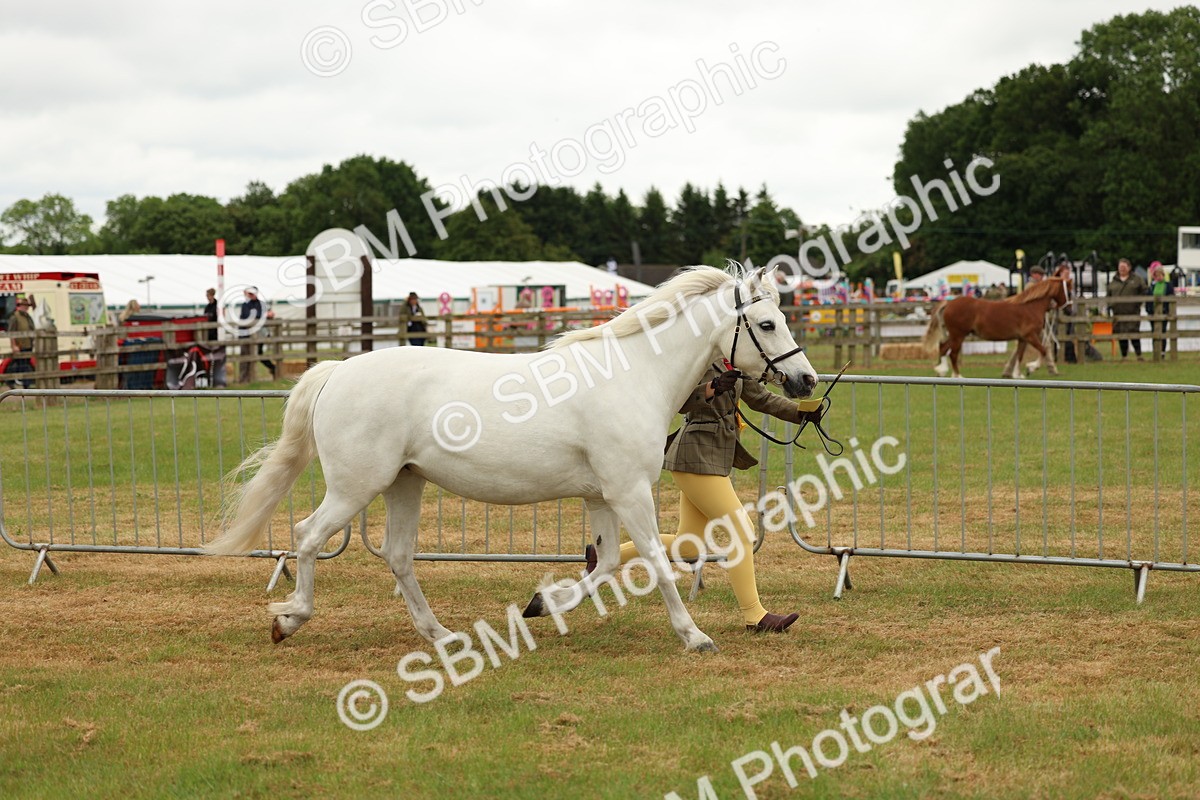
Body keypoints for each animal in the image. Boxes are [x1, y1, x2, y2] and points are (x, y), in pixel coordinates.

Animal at [204, 265, 819, 653]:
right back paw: (289, 620)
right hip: (359, 485)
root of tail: (338, 371)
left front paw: (543, 603)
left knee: (398, 556)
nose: (806, 381)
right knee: (308, 536)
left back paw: (441, 636)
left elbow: (606, 564)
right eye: (767, 323)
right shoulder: (629, 492)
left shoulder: (602, 496)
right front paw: (695, 636)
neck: (633, 377)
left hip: (405, 483)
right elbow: (655, 562)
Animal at [922, 277, 1071, 378]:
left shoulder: (1022, 339)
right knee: (952, 353)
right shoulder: (1030, 336)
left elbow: (1020, 355)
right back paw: (957, 375)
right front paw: (1031, 368)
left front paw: (1018, 374)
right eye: (1069, 291)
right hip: (958, 335)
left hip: (955, 336)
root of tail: (949, 303)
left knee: (943, 347)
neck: (1030, 307)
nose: (1069, 309)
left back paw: (941, 371)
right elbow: (1043, 350)